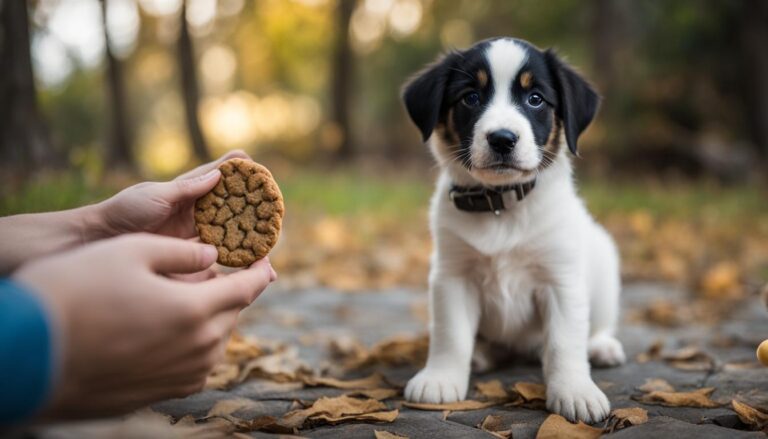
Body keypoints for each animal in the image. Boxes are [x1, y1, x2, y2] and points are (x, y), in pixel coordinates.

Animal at [402, 38, 624, 426]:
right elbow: (451, 335)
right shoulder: (452, 277)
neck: (500, 207)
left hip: (604, 268)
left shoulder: (561, 280)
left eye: (535, 98)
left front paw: (575, 391)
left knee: (595, 326)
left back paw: (601, 346)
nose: (502, 139)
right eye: (471, 98)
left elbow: (565, 342)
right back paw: (481, 354)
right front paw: (440, 377)